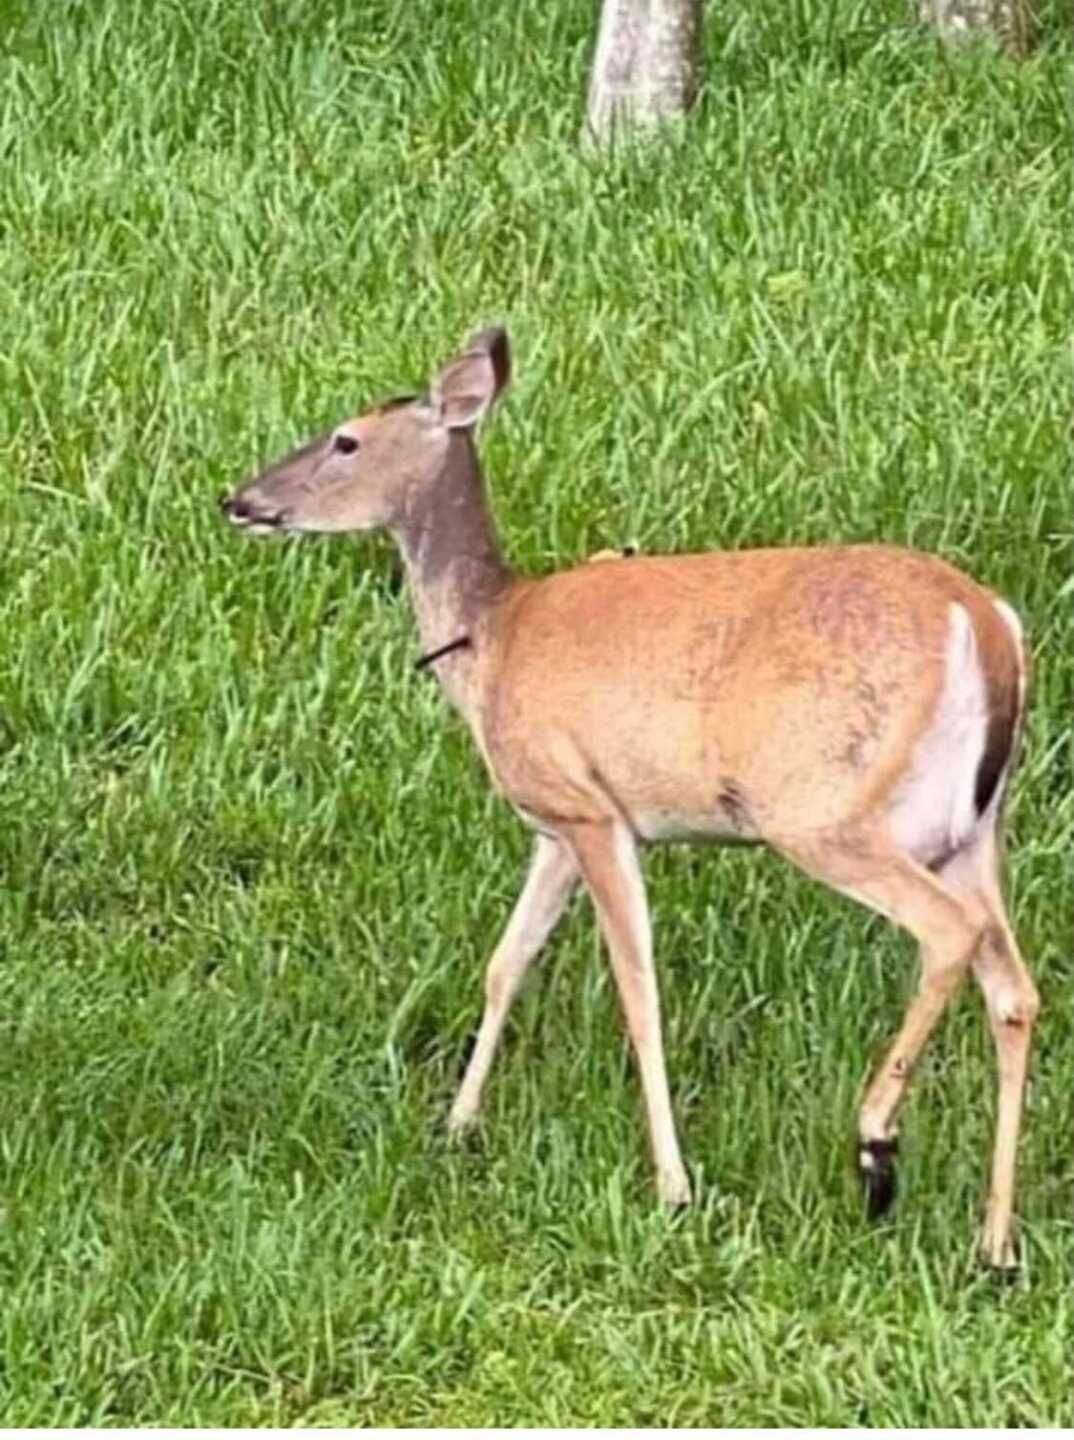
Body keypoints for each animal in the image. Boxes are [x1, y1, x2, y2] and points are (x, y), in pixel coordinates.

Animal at [220, 326, 1039, 1272]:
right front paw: (459, 1125)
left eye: (346, 439)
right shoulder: (551, 824)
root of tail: (987, 626)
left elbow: (637, 991)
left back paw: (876, 1148)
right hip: (971, 828)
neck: (491, 641)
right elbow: (505, 964)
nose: (239, 499)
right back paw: (995, 1242)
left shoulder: (594, 809)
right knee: (1014, 989)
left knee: (949, 933)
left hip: (825, 809)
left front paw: (673, 1186)